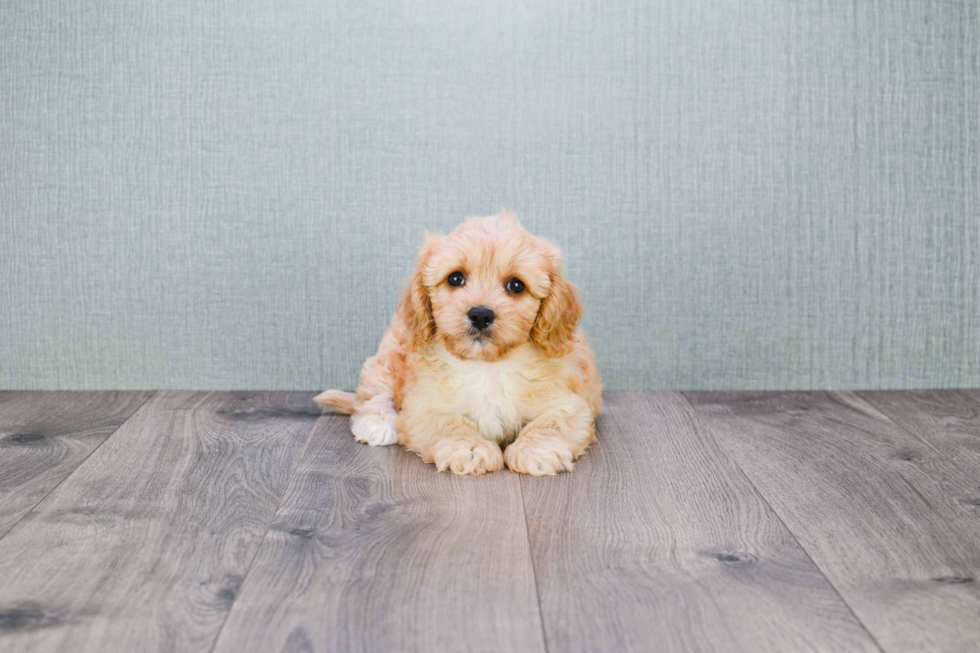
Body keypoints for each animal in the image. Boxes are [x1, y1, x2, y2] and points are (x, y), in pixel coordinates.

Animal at [318, 213, 600, 474]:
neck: (487, 366)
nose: (481, 314)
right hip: (387, 356)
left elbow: (552, 422)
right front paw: (470, 449)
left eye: (516, 285)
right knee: (374, 393)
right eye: (455, 278)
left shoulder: (569, 402)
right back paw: (378, 423)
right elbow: (450, 423)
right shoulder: (424, 404)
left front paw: (537, 450)